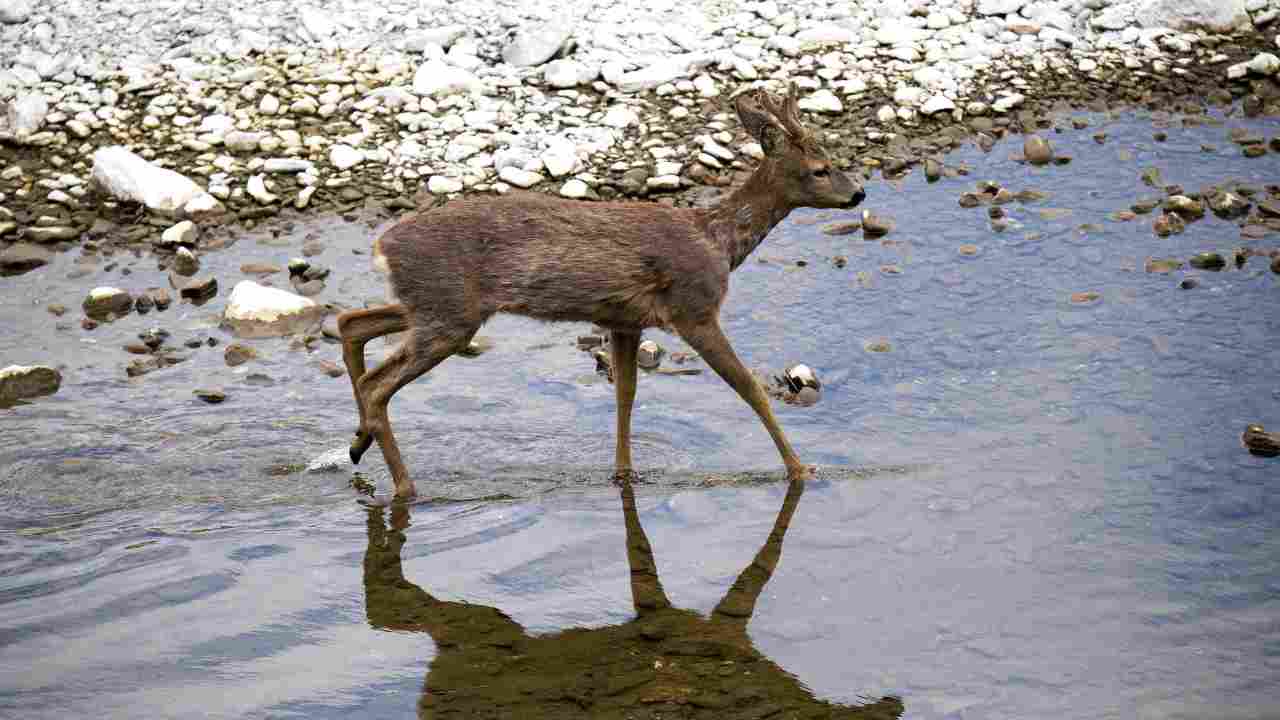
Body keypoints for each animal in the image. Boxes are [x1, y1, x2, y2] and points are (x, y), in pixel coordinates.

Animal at [335, 81, 865, 497]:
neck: (717, 239)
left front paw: (624, 473)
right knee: (376, 381)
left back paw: (358, 444)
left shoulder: (625, 320)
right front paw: (802, 469)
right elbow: (750, 388)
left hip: (436, 305)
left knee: (351, 323)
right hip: (449, 313)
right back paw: (405, 485)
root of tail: (383, 244)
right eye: (820, 168)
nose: (859, 192)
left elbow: (625, 394)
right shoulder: (694, 308)